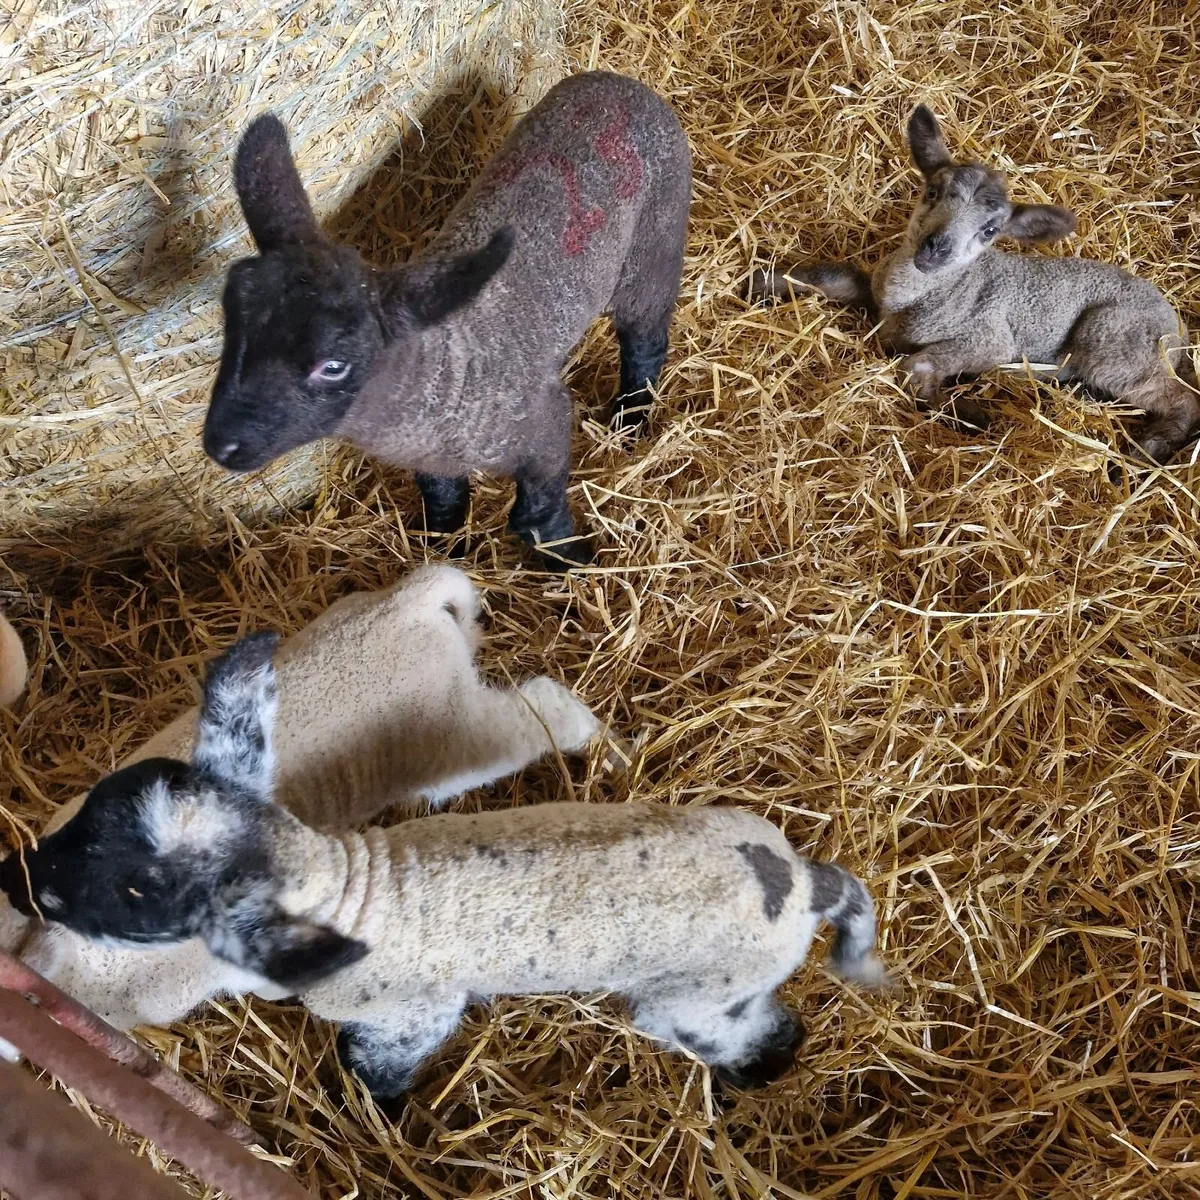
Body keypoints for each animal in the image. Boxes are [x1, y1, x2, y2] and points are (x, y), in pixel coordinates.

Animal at [0, 635, 889, 1100]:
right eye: (94, 804)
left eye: (135, 895)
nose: (15, 876)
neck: (339, 888)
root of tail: (802, 882)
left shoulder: (411, 1014)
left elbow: (378, 1071)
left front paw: (371, 1111)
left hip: (702, 998)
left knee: (766, 1033)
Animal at [204, 70, 692, 571]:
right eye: (232, 320)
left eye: (334, 366)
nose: (220, 445)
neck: (444, 371)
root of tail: (618, 81)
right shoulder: (431, 463)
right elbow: (443, 505)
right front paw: (444, 554)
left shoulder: (544, 425)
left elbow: (537, 517)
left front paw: (575, 561)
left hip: (655, 245)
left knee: (645, 340)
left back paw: (632, 418)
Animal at [750, 105, 1199, 467]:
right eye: (932, 192)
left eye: (989, 231)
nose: (936, 248)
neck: (920, 296)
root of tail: (1177, 329)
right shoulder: (878, 300)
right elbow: (837, 277)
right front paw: (762, 281)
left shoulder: (990, 338)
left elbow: (917, 366)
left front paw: (968, 414)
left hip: (1115, 340)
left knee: (1182, 400)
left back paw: (1147, 449)